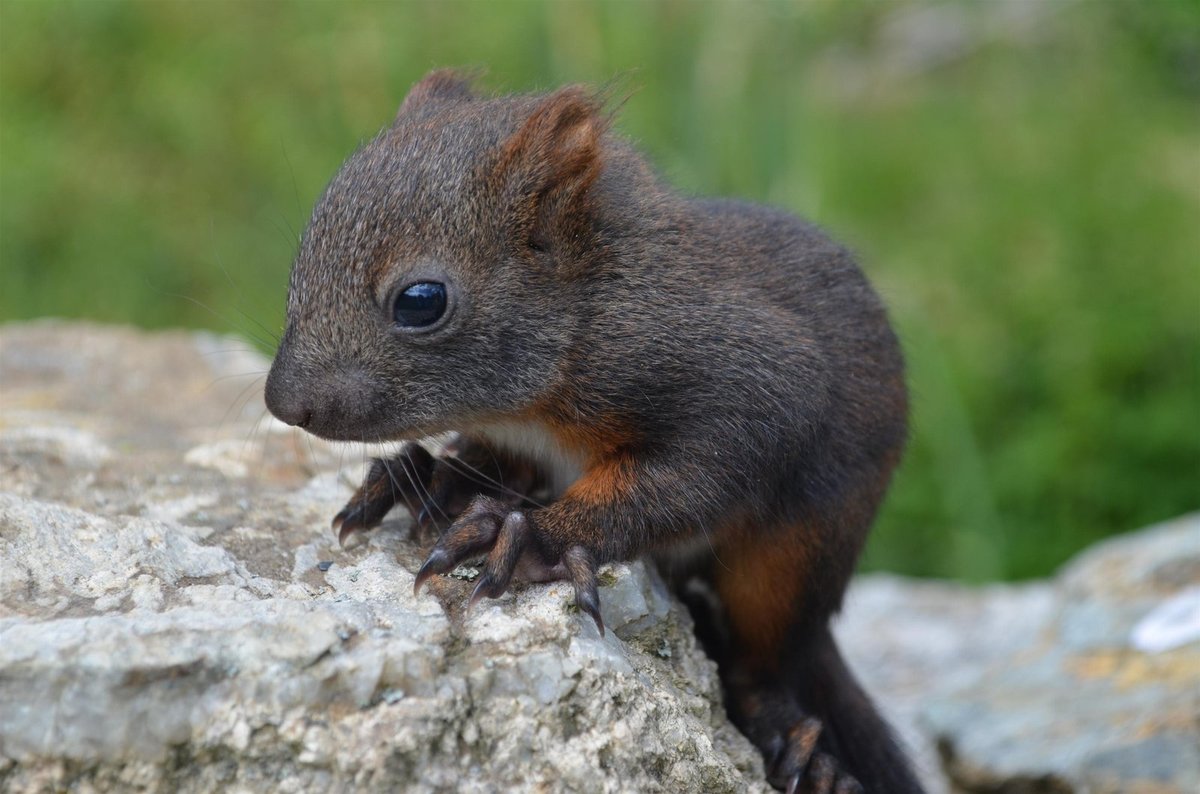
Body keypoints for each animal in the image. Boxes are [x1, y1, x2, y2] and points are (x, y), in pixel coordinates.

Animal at [267, 69, 921, 794]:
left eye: (421, 301)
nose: (282, 400)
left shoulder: (749, 380)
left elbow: (685, 479)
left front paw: (530, 535)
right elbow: (500, 461)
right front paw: (431, 476)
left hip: (794, 558)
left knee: (767, 661)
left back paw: (797, 741)